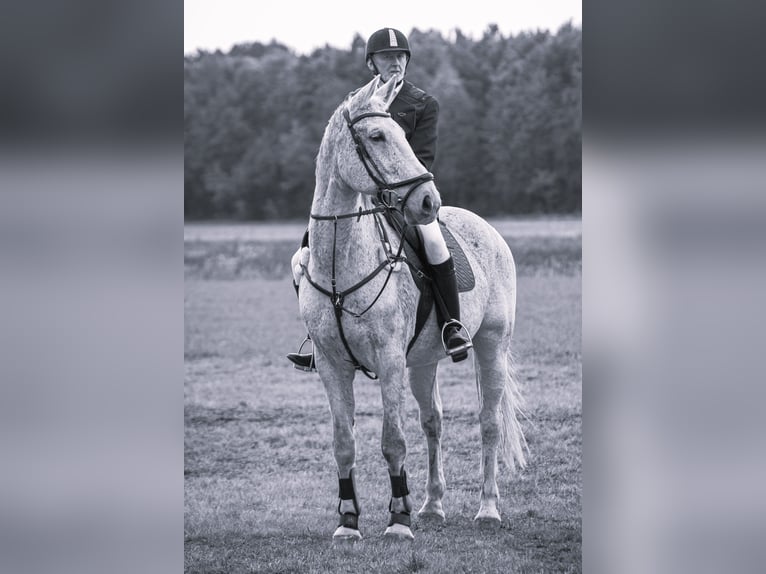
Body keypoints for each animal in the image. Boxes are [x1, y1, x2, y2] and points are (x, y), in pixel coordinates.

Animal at [296, 74, 528, 544]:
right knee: (433, 422)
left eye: (404, 134)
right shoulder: (331, 365)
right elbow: (343, 443)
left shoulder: (388, 360)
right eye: (377, 136)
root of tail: (488, 229)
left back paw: (487, 510)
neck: (340, 267)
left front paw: (398, 520)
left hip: (492, 344)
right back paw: (433, 506)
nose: (427, 202)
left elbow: (393, 440)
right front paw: (348, 522)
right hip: (422, 362)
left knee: (489, 422)